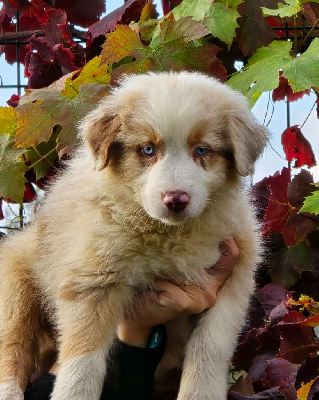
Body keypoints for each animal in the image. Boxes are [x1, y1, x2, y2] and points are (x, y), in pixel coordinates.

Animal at [0, 70, 268, 398]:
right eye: (148, 149)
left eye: (202, 150)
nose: (176, 200)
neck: (169, 235)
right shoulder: (92, 278)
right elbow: (82, 359)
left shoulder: (234, 277)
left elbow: (210, 347)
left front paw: (199, 392)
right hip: (16, 283)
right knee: (12, 347)